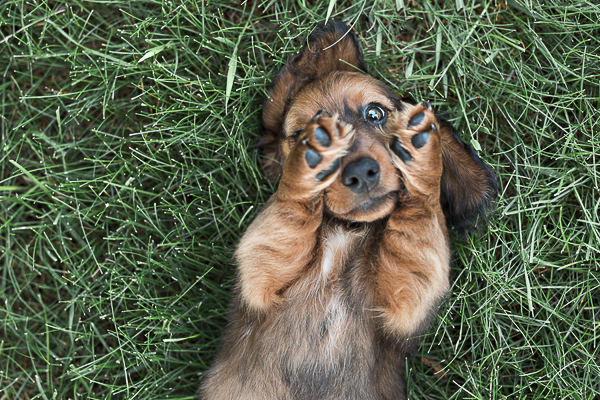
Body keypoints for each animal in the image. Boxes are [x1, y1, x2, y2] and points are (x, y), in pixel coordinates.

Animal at [199, 20, 494, 400]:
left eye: (375, 113)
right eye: (300, 134)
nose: (360, 172)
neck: (346, 231)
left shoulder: (404, 302)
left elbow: (418, 220)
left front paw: (422, 155)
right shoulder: (261, 277)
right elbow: (288, 211)